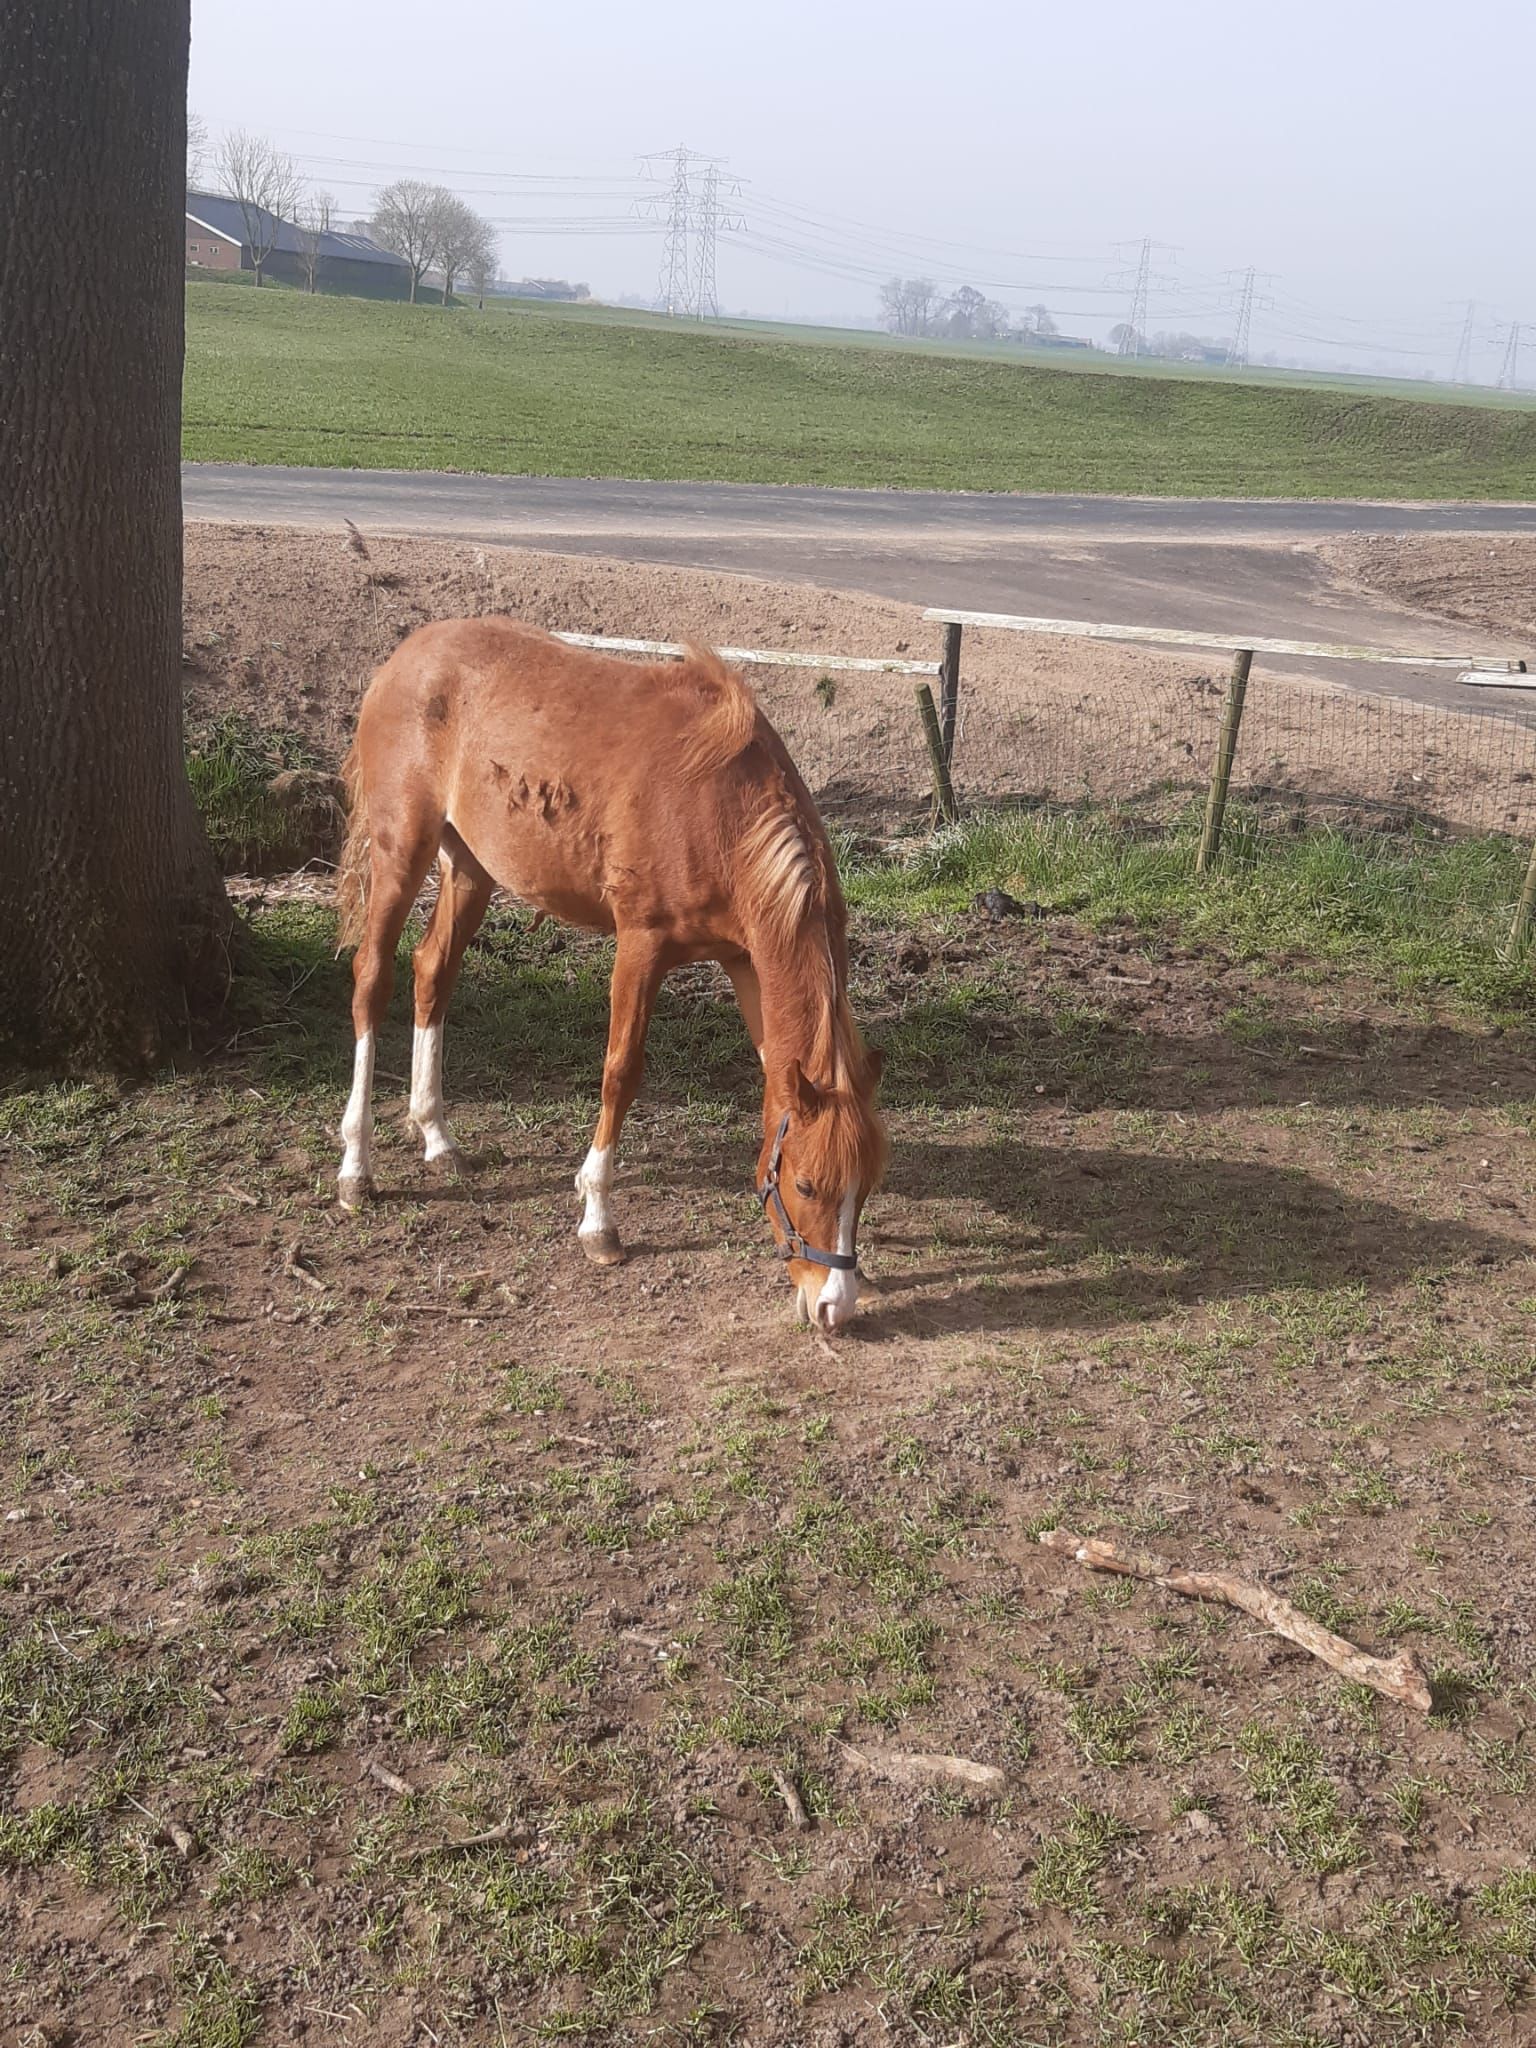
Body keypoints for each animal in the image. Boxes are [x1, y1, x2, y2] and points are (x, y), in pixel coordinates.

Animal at [333, 617, 888, 1329]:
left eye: (865, 1186)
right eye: (805, 1183)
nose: (832, 1307)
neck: (720, 808)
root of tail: (407, 653)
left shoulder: (745, 961)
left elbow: (772, 1069)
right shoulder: (641, 945)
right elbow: (621, 1073)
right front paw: (598, 1219)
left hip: (470, 868)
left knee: (433, 974)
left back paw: (435, 1135)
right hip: (401, 851)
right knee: (371, 982)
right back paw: (356, 1167)